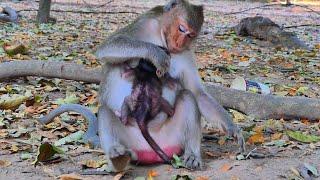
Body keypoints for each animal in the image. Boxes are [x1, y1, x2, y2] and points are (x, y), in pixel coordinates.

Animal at [41, 0, 244, 169]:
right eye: (181, 29)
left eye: (191, 35)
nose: (180, 43)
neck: (161, 36)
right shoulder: (146, 23)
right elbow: (108, 46)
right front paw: (155, 54)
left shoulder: (186, 52)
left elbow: (197, 92)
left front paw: (232, 128)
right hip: (131, 141)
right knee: (106, 110)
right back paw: (117, 157)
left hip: (173, 139)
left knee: (187, 97)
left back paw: (192, 155)